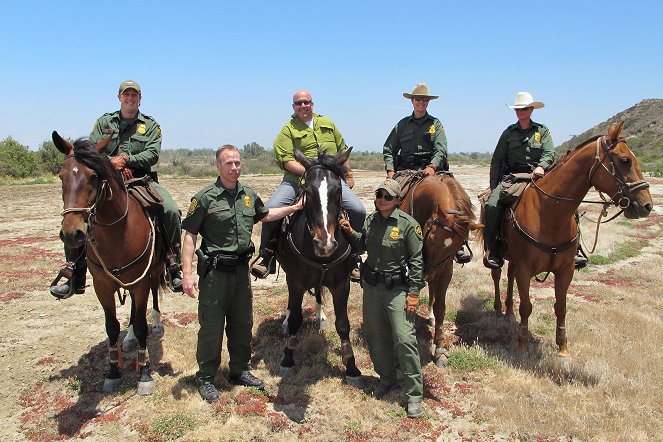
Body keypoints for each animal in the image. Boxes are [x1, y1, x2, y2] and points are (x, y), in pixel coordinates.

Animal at [55, 130, 167, 394]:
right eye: (61, 176)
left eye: (94, 177)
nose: (72, 233)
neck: (118, 233)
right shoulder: (102, 286)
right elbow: (112, 326)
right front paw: (113, 371)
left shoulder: (140, 281)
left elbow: (142, 324)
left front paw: (144, 375)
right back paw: (129, 340)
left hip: (153, 271)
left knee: (153, 294)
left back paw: (156, 324)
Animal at [274, 148, 364, 386]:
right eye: (307, 190)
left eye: (338, 189)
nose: (326, 244)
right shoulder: (296, 282)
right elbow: (296, 319)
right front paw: (288, 359)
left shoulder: (341, 284)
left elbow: (343, 324)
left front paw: (352, 367)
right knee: (292, 305)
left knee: (318, 294)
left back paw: (320, 316)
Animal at [400, 173, 482, 366]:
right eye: (430, 238)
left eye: (457, 246)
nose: (427, 273)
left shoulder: (445, 272)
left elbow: (440, 308)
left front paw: (440, 349)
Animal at [482, 121, 652, 356]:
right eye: (625, 160)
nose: (647, 205)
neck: (549, 212)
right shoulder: (526, 268)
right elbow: (526, 306)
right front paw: (523, 345)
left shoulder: (565, 269)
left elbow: (561, 307)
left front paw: (563, 346)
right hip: (496, 254)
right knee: (497, 275)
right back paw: (499, 310)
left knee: (510, 275)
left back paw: (508, 311)